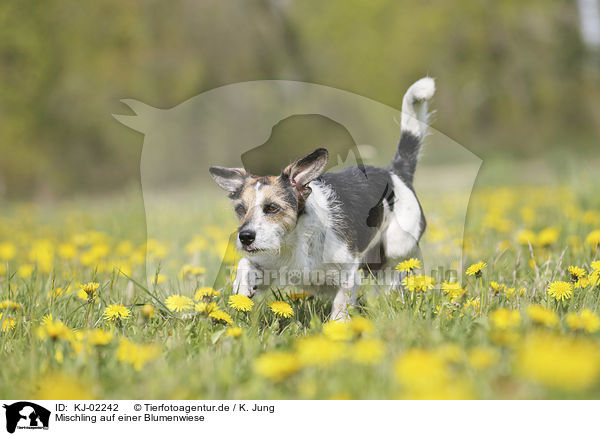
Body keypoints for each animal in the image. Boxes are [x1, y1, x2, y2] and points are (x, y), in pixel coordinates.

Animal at [209, 77, 434, 320]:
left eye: (272, 208)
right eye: (240, 209)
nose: (245, 237)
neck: (294, 241)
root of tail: (395, 172)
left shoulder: (349, 271)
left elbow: (341, 303)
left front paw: (337, 324)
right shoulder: (267, 264)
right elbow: (246, 263)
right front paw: (243, 286)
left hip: (395, 247)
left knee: (394, 276)